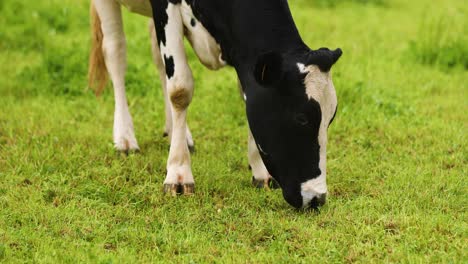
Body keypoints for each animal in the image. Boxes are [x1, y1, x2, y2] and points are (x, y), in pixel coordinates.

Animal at [88, 0, 342, 209]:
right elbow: (180, 88)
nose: (317, 198)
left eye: (331, 118)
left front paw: (260, 170)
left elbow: (245, 93)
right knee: (115, 51)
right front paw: (179, 174)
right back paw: (125, 138)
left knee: (158, 58)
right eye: (301, 118)